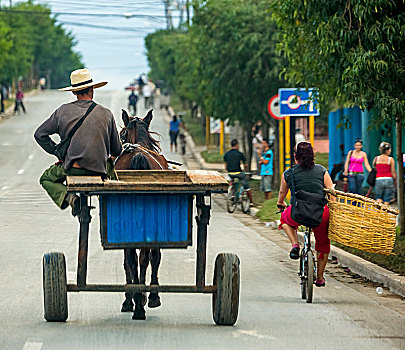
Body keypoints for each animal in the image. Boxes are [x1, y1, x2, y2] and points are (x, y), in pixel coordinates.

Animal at [114, 109, 168, 320]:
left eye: (121, 134)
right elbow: (154, 256)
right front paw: (151, 296)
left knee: (132, 258)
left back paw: (134, 301)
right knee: (143, 257)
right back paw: (140, 302)